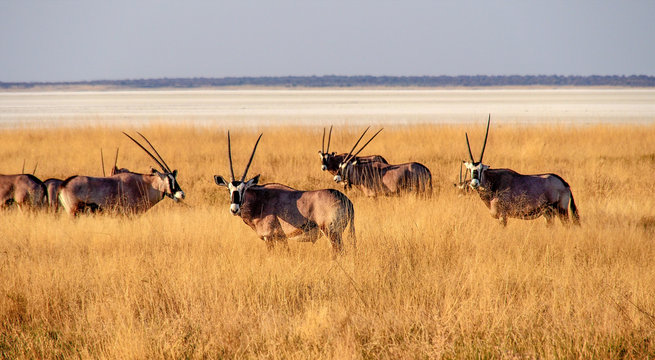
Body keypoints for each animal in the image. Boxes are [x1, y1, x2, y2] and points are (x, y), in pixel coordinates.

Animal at [217, 132, 356, 253]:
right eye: (229, 189)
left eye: (244, 189)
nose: (234, 209)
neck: (259, 200)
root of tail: (347, 200)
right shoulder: (282, 238)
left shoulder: (269, 237)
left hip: (331, 233)